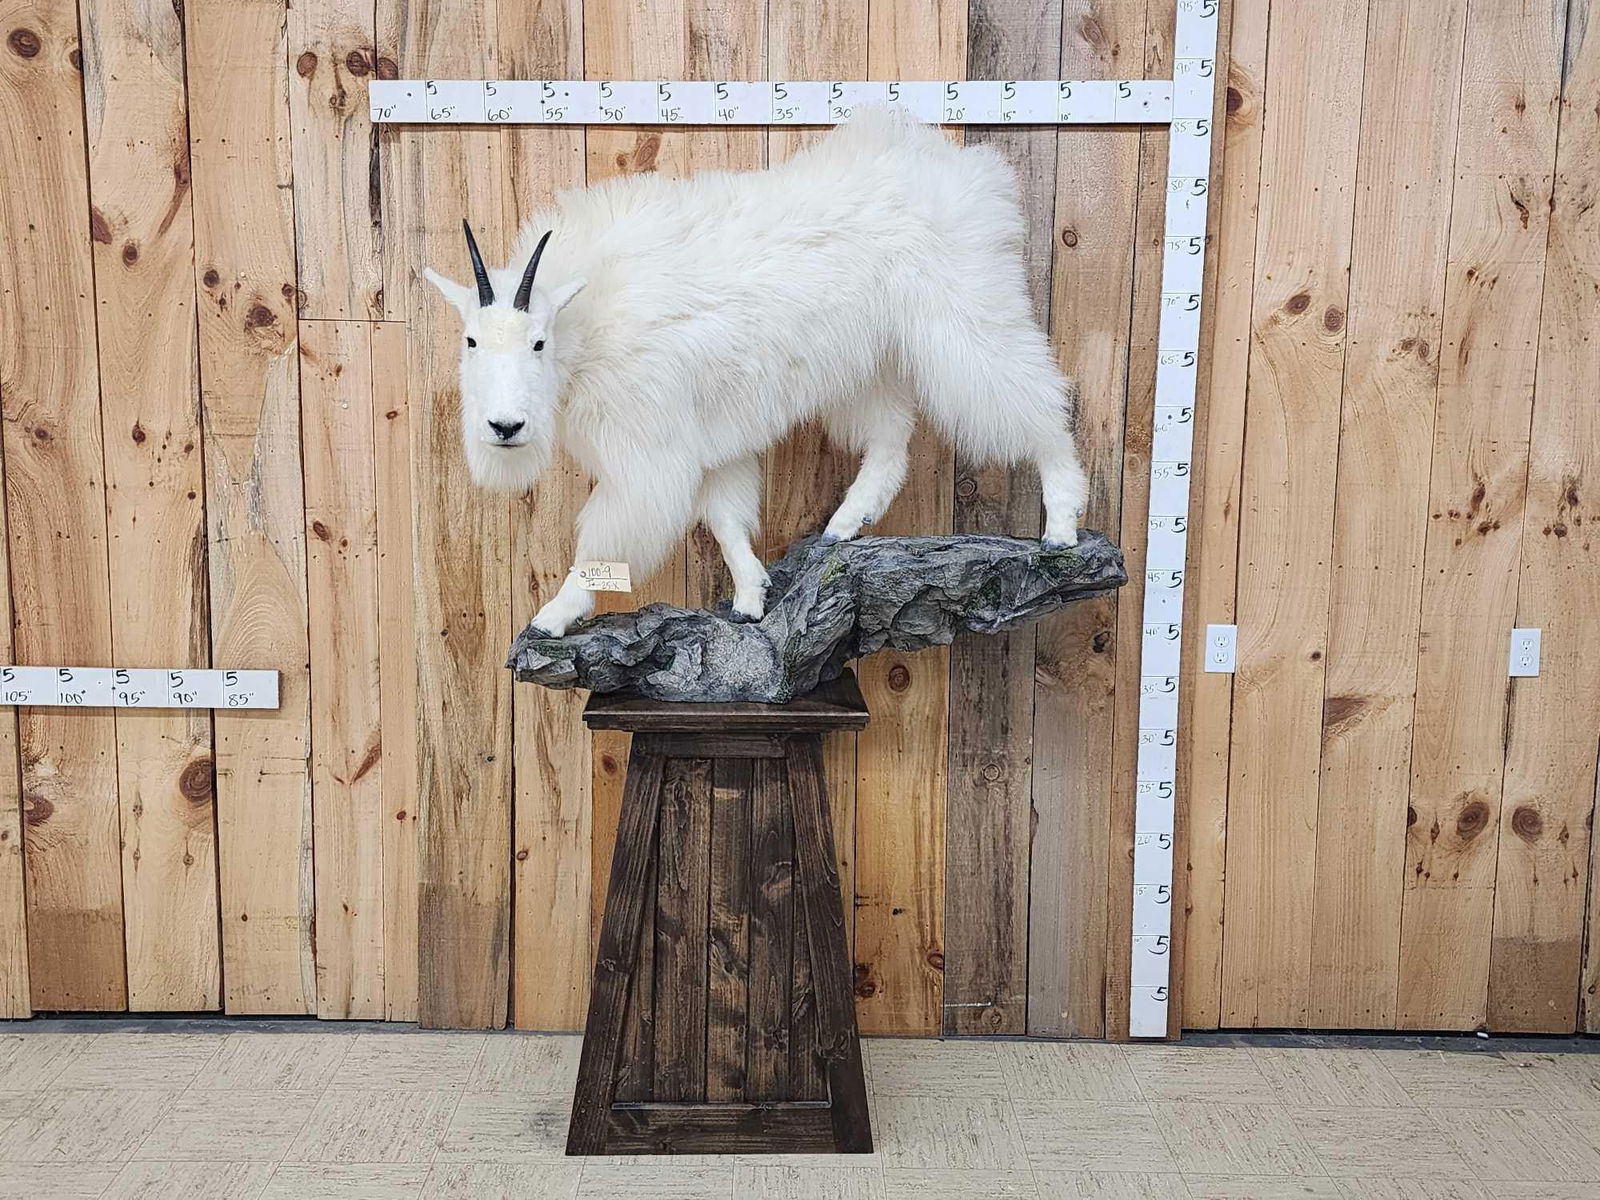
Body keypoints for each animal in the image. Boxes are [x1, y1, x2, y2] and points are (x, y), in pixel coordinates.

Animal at [425, 108, 1088, 638]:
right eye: (470, 340)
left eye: (538, 343)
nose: (504, 427)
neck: (588, 322)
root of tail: (974, 173)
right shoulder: (710, 441)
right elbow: (725, 519)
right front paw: (750, 597)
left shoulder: (650, 454)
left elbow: (604, 541)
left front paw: (554, 615)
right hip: (869, 364)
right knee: (891, 443)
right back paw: (842, 527)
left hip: (966, 319)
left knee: (1035, 401)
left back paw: (1060, 524)